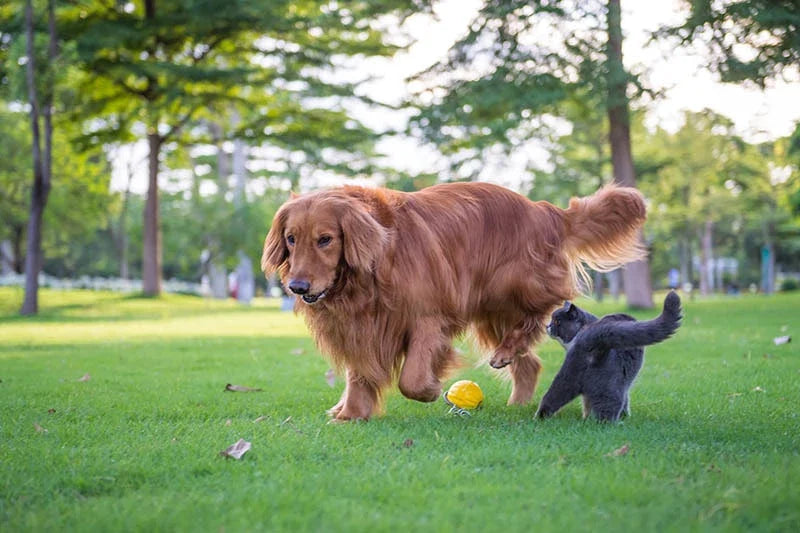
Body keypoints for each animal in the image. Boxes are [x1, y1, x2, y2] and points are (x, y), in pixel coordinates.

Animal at [260, 183, 644, 420]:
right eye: (291, 238)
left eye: (325, 239)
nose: (296, 286)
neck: (370, 271)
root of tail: (546, 210)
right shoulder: (363, 325)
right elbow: (360, 372)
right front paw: (351, 414)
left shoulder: (429, 318)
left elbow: (412, 379)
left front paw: (431, 390)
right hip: (491, 314)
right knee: (530, 363)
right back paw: (516, 399)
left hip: (509, 285)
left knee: (545, 308)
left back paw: (511, 351)